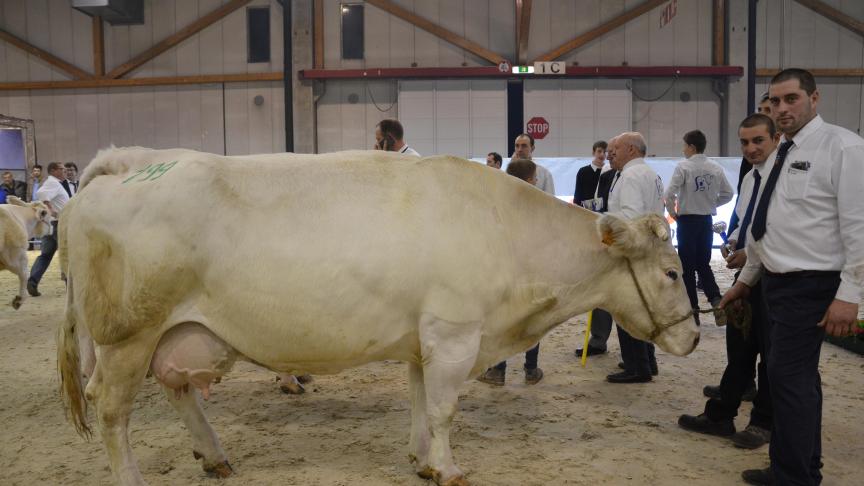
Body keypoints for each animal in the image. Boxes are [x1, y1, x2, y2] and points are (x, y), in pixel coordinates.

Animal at [57, 147, 699, 486]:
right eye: (672, 273)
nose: (695, 335)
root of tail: (131, 165)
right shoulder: (454, 334)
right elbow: (443, 410)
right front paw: (448, 467)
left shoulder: (424, 340)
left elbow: (419, 404)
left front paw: (421, 459)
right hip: (127, 335)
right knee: (110, 407)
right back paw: (132, 477)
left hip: (176, 333)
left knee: (178, 390)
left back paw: (214, 455)